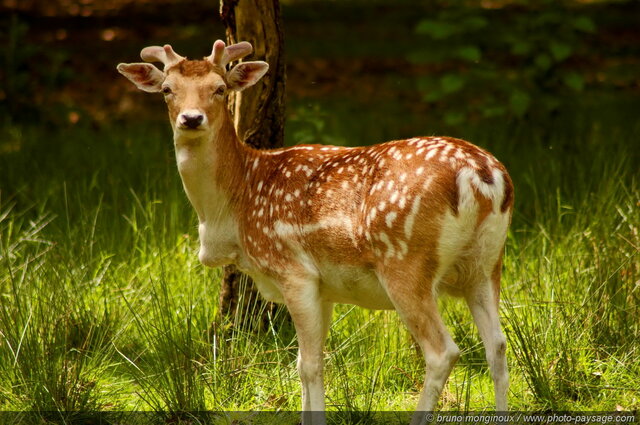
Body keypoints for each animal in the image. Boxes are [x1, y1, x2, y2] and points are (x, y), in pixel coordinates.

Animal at [116, 40, 516, 424]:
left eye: (219, 89)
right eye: (167, 90)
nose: (191, 118)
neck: (235, 206)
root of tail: (481, 177)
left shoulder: (293, 271)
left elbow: (308, 366)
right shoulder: (325, 289)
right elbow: (304, 363)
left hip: (405, 262)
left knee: (442, 352)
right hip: (485, 264)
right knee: (497, 346)